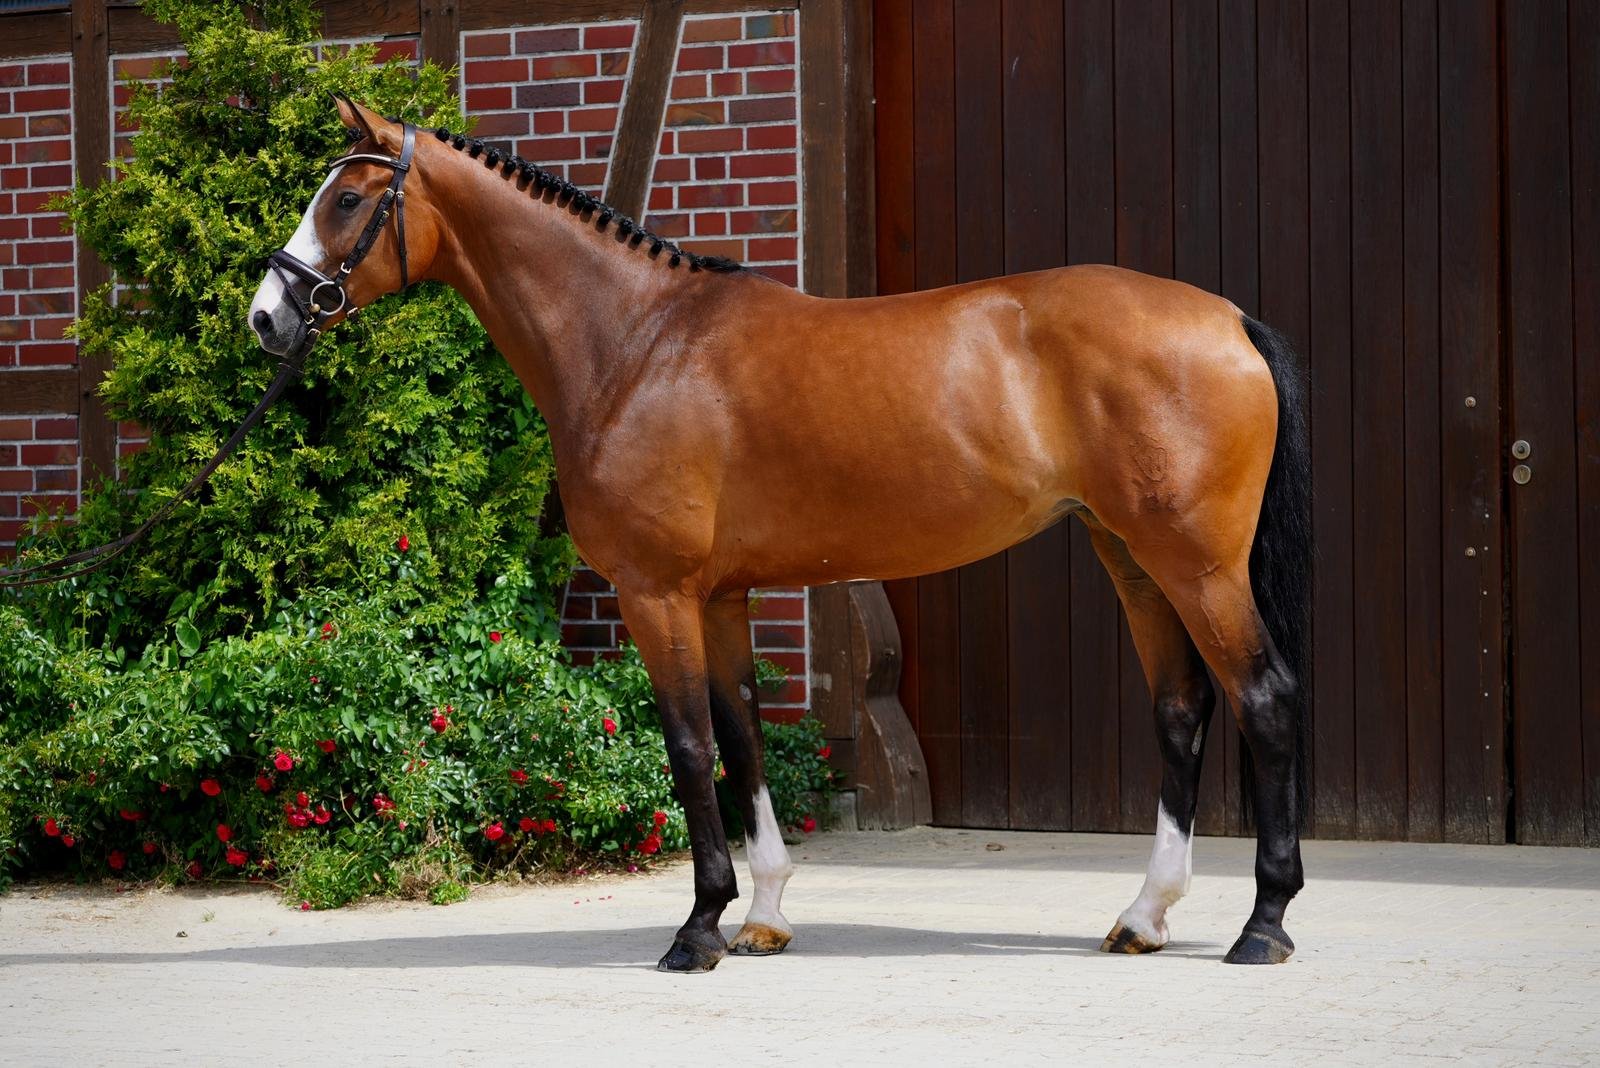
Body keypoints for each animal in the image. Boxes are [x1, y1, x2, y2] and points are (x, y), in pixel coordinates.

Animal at [250, 97, 1312, 972]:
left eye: (348, 199)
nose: (268, 318)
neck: (637, 342)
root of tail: (1230, 318)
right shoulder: (719, 598)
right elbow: (742, 737)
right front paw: (761, 916)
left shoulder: (656, 592)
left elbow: (686, 747)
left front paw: (695, 931)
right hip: (1133, 558)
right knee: (1181, 710)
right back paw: (1145, 916)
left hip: (1197, 565)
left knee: (1261, 699)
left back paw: (1263, 926)